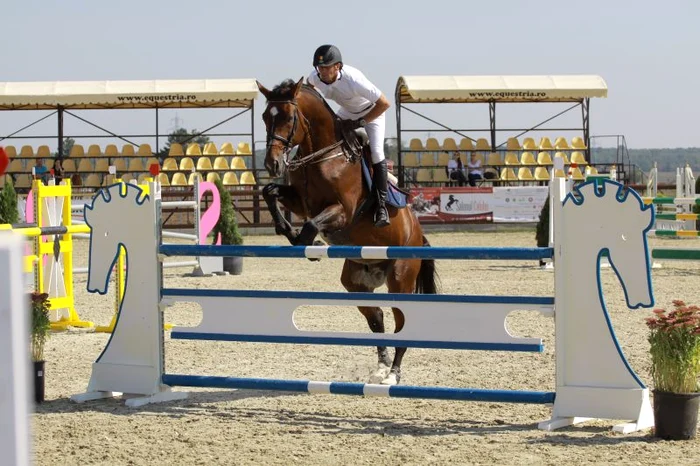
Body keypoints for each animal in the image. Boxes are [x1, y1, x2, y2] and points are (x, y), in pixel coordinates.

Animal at [258, 78, 438, 386]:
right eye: (264, 117)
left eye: (290, 118)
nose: (273, 164)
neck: (323, 156)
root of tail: (418, 236)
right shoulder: (299, 201)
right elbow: (269, 192)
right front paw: (286, 230)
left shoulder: (343, 211)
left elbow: (311, 225)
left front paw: (312, 246)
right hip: (356, 281)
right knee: (375, 316)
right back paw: (381, 367)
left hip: (400, 278)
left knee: (400, 323)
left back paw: (393, 374)